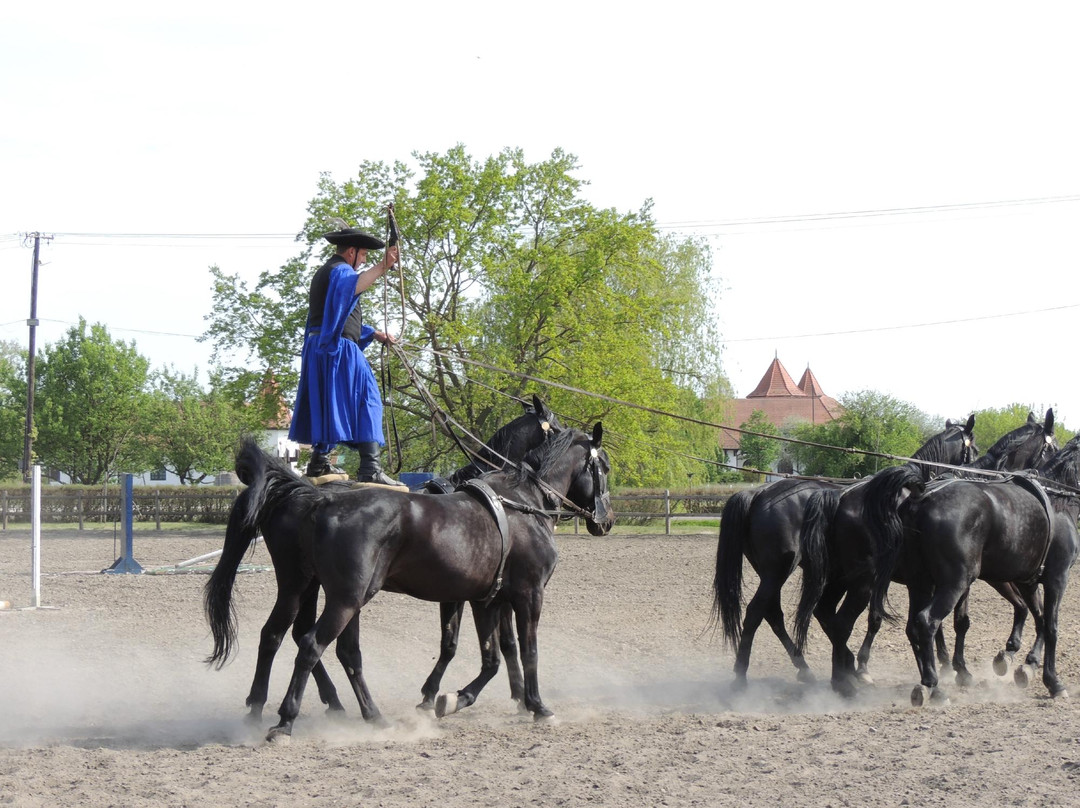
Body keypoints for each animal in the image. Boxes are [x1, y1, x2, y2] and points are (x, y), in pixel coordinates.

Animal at [203, 429, 609, 738]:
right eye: (603, 466)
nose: (604, 520)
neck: (520, 504)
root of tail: (320, 499)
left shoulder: (485, 599)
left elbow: (491, 657)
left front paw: (451, 699)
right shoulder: (528, 595)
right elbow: (527, 650)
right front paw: (537, 705)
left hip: (301, 588)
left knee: (286, 637)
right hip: (345, 599)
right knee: (311, 644)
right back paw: (287, 720)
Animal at [712, 416, 976, 687]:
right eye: (972, 448)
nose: (969, 475)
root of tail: (757, 494)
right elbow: (879, 619)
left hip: (773, 574)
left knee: (773, 614)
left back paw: (805, 667)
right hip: (778, 572)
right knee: (756, 613)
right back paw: (742, 675)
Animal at [799, 410, 1058, 695]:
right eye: (1052, 448)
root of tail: (840, 498)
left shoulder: (929, 580)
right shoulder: (955, 579)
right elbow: (953, 622)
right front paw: (952, 668)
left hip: (840, 577)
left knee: (825, 614)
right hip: (862, 581)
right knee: (843, 622)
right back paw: (848, 678)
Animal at [868, 432, 1080, 704]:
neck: (1057, 501)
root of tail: (919, 498)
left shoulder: (1029, 580)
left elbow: (1039, 618)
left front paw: (1027, 664)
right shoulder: (1057, 578)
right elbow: (1051, 626)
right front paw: (1053, 682)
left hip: (921, 583)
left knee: (914, 626)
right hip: (955, 582)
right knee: (927, 622)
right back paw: (930, 685)